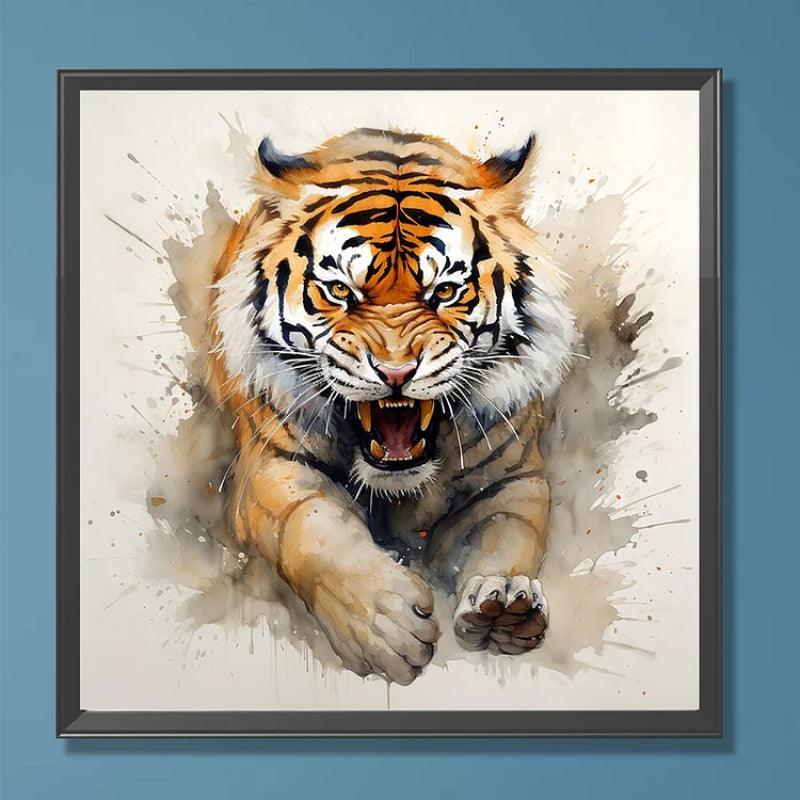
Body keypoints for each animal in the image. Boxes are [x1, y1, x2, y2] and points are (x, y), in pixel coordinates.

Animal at [206, 127, 576, 684]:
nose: (397, 372)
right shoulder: (270, 467)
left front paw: (506, 606)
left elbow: (507, 535)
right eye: (341, 290)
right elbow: (314, 529)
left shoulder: (514, 478)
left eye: (445, 291)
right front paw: (384, 626)